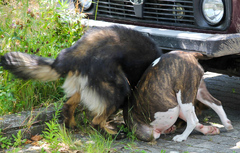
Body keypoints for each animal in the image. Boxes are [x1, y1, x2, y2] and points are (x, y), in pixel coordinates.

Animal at [0, 25, 161, 135]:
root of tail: (71, 54)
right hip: (118, 89)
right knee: (96, 120)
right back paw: (110, 134)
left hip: (81, 85)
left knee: (68, 106)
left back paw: (71, 125)